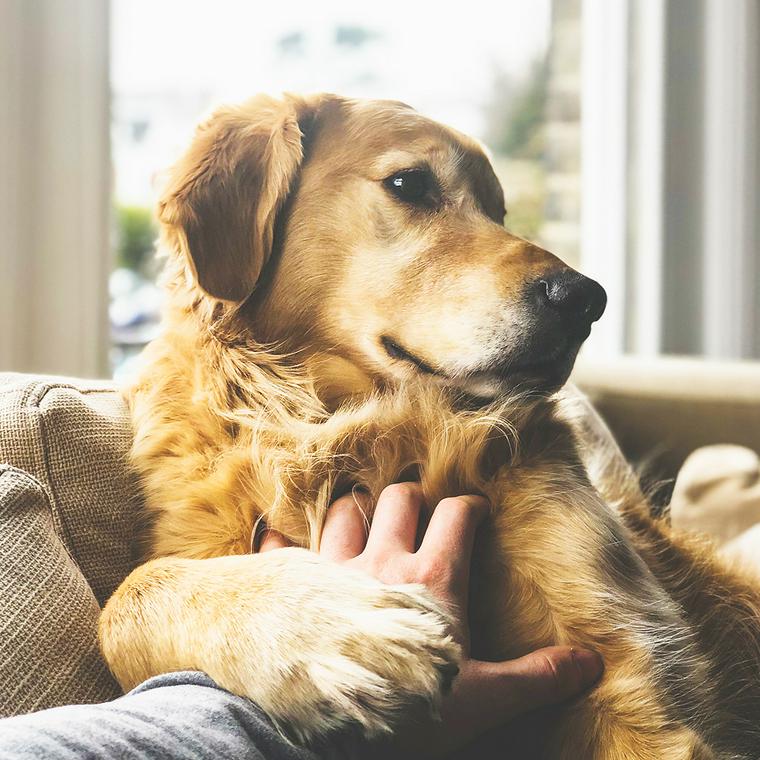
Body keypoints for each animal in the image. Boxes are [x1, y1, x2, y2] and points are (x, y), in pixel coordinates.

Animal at [98, 95, 760, 760]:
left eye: (498, 211)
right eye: (409, 184)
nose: (585, 300)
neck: (350, 423)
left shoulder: (632, 673)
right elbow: (128, 596)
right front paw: (340, 630)